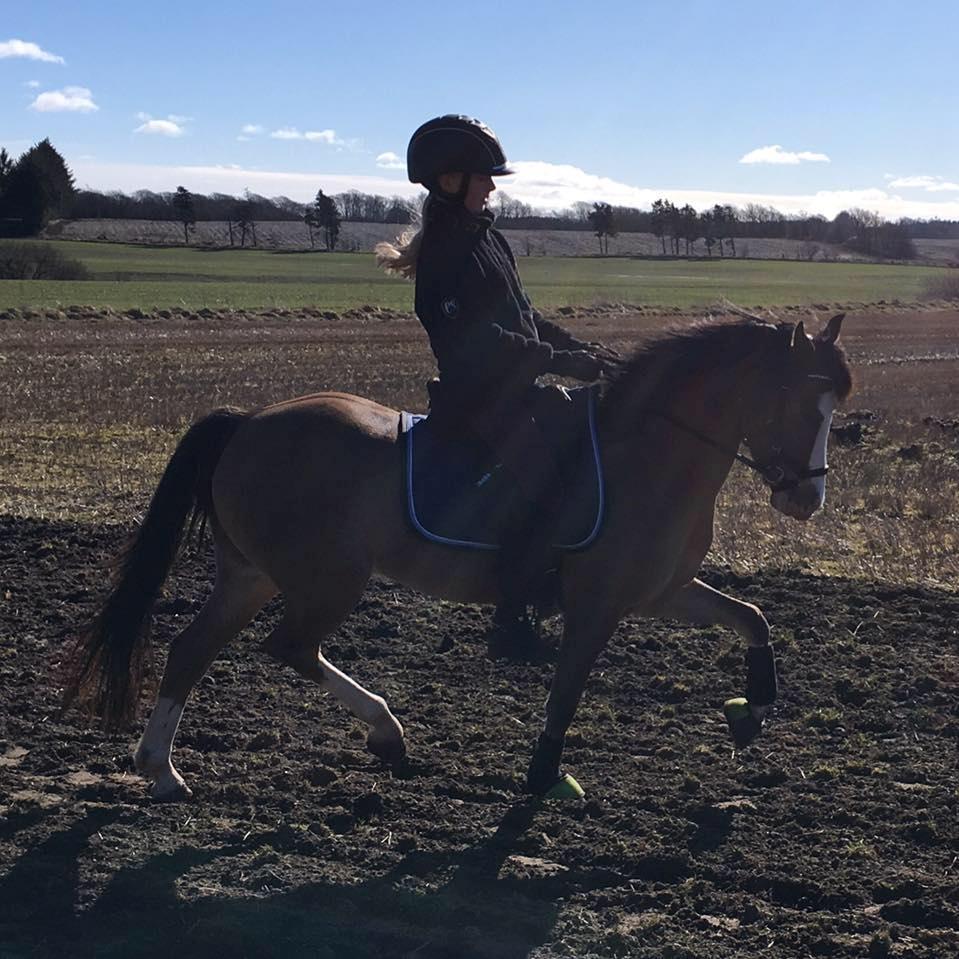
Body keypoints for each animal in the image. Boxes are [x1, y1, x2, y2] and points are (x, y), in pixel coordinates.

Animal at [64, 313, 852, 801]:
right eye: (792, 401)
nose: (806, 499)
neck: (651, 453)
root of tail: (250, 421)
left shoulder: (662, 589)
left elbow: (752, 618)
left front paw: (753, 708)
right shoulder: (597, 602)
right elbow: (566, 692)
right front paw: (543, 778)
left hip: (252, 575)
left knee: (192, 648)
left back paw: (161, 770)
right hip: (327, 580)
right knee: (288, 646)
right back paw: (385, 730)